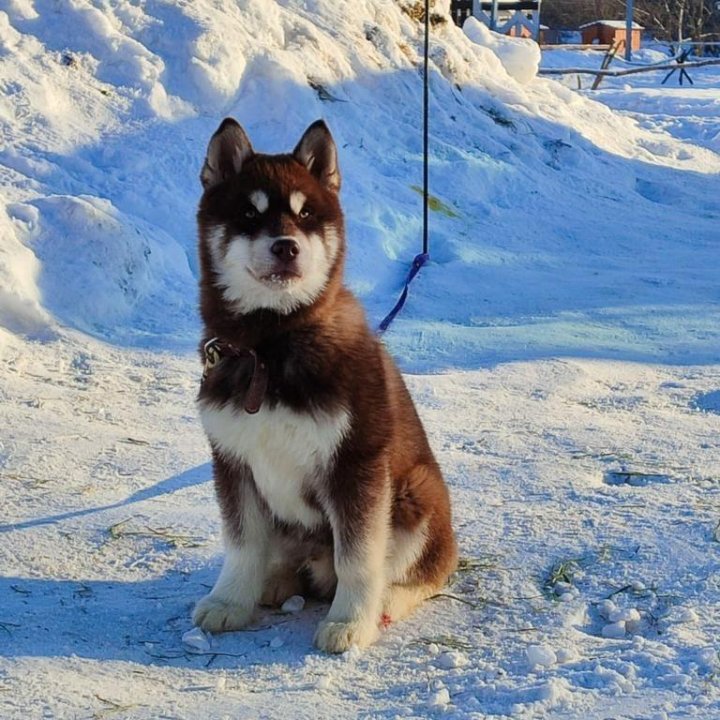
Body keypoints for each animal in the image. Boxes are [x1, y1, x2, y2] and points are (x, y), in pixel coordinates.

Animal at [194, 118, 458, 652]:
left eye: (307, 214)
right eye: (249, 214)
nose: (286, 247)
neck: (270, 347)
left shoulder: (356, 463)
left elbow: (357, 557)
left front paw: (350, 622)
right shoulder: (232, 460)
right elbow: (242, 543)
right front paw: (230, 600)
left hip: (416, 495)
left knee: (422, 572)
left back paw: (387, 602)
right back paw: (275, 579)